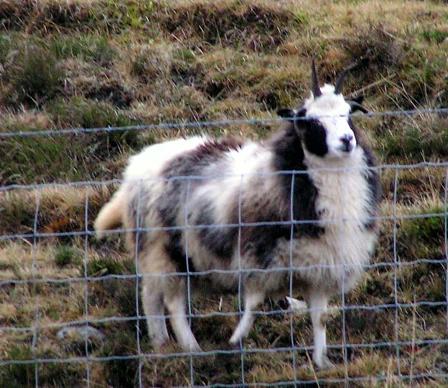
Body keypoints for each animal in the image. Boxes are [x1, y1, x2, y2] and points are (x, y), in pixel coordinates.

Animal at [95, 60, 382, 370]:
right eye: (312, 121)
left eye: (348, 115)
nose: (347, 140)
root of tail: (136, 166)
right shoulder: (258, 256)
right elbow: (254, 304)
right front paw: (236, 338)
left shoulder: (319, 266)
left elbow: (320, 320)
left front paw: (322, 363)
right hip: (164, 250)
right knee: (172, 303)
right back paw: (192, 348)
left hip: (165, 255)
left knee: (151, 296)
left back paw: (160, 344)